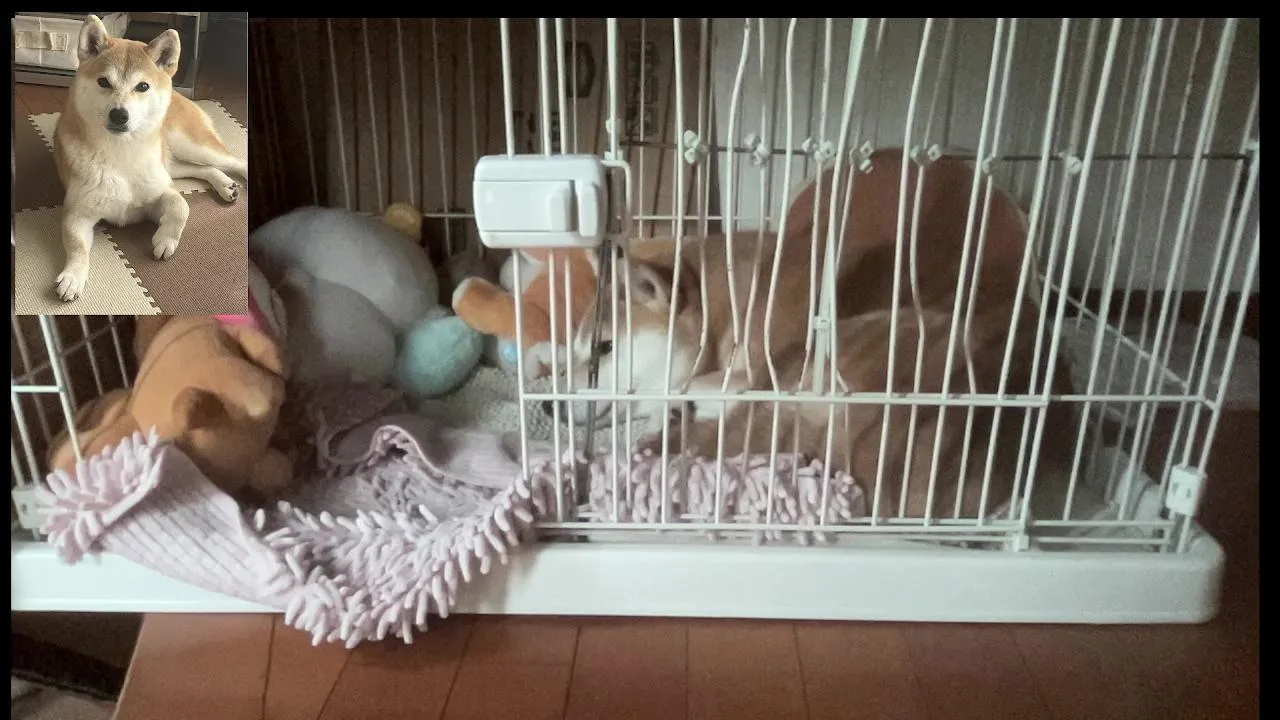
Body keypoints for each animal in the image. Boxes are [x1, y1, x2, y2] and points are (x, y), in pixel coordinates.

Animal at [51, 14, 246, 302]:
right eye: (103, 82)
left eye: (142, 86)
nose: (119, 114)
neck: (121, 153)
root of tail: (181, 94)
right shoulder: (78, 213)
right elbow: (77, 247)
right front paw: (73, 277)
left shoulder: (159, 194)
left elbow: (181, 206)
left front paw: (165, 240)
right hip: (170, 162)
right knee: (202, 168)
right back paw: (226, 185)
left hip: (188, 146)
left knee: (234, 161)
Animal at [550, 148, 1076, 519]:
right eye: (572, 350)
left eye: (602, 348)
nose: (549, 405)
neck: (734, 304)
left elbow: (694, 390)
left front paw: (680, 407)